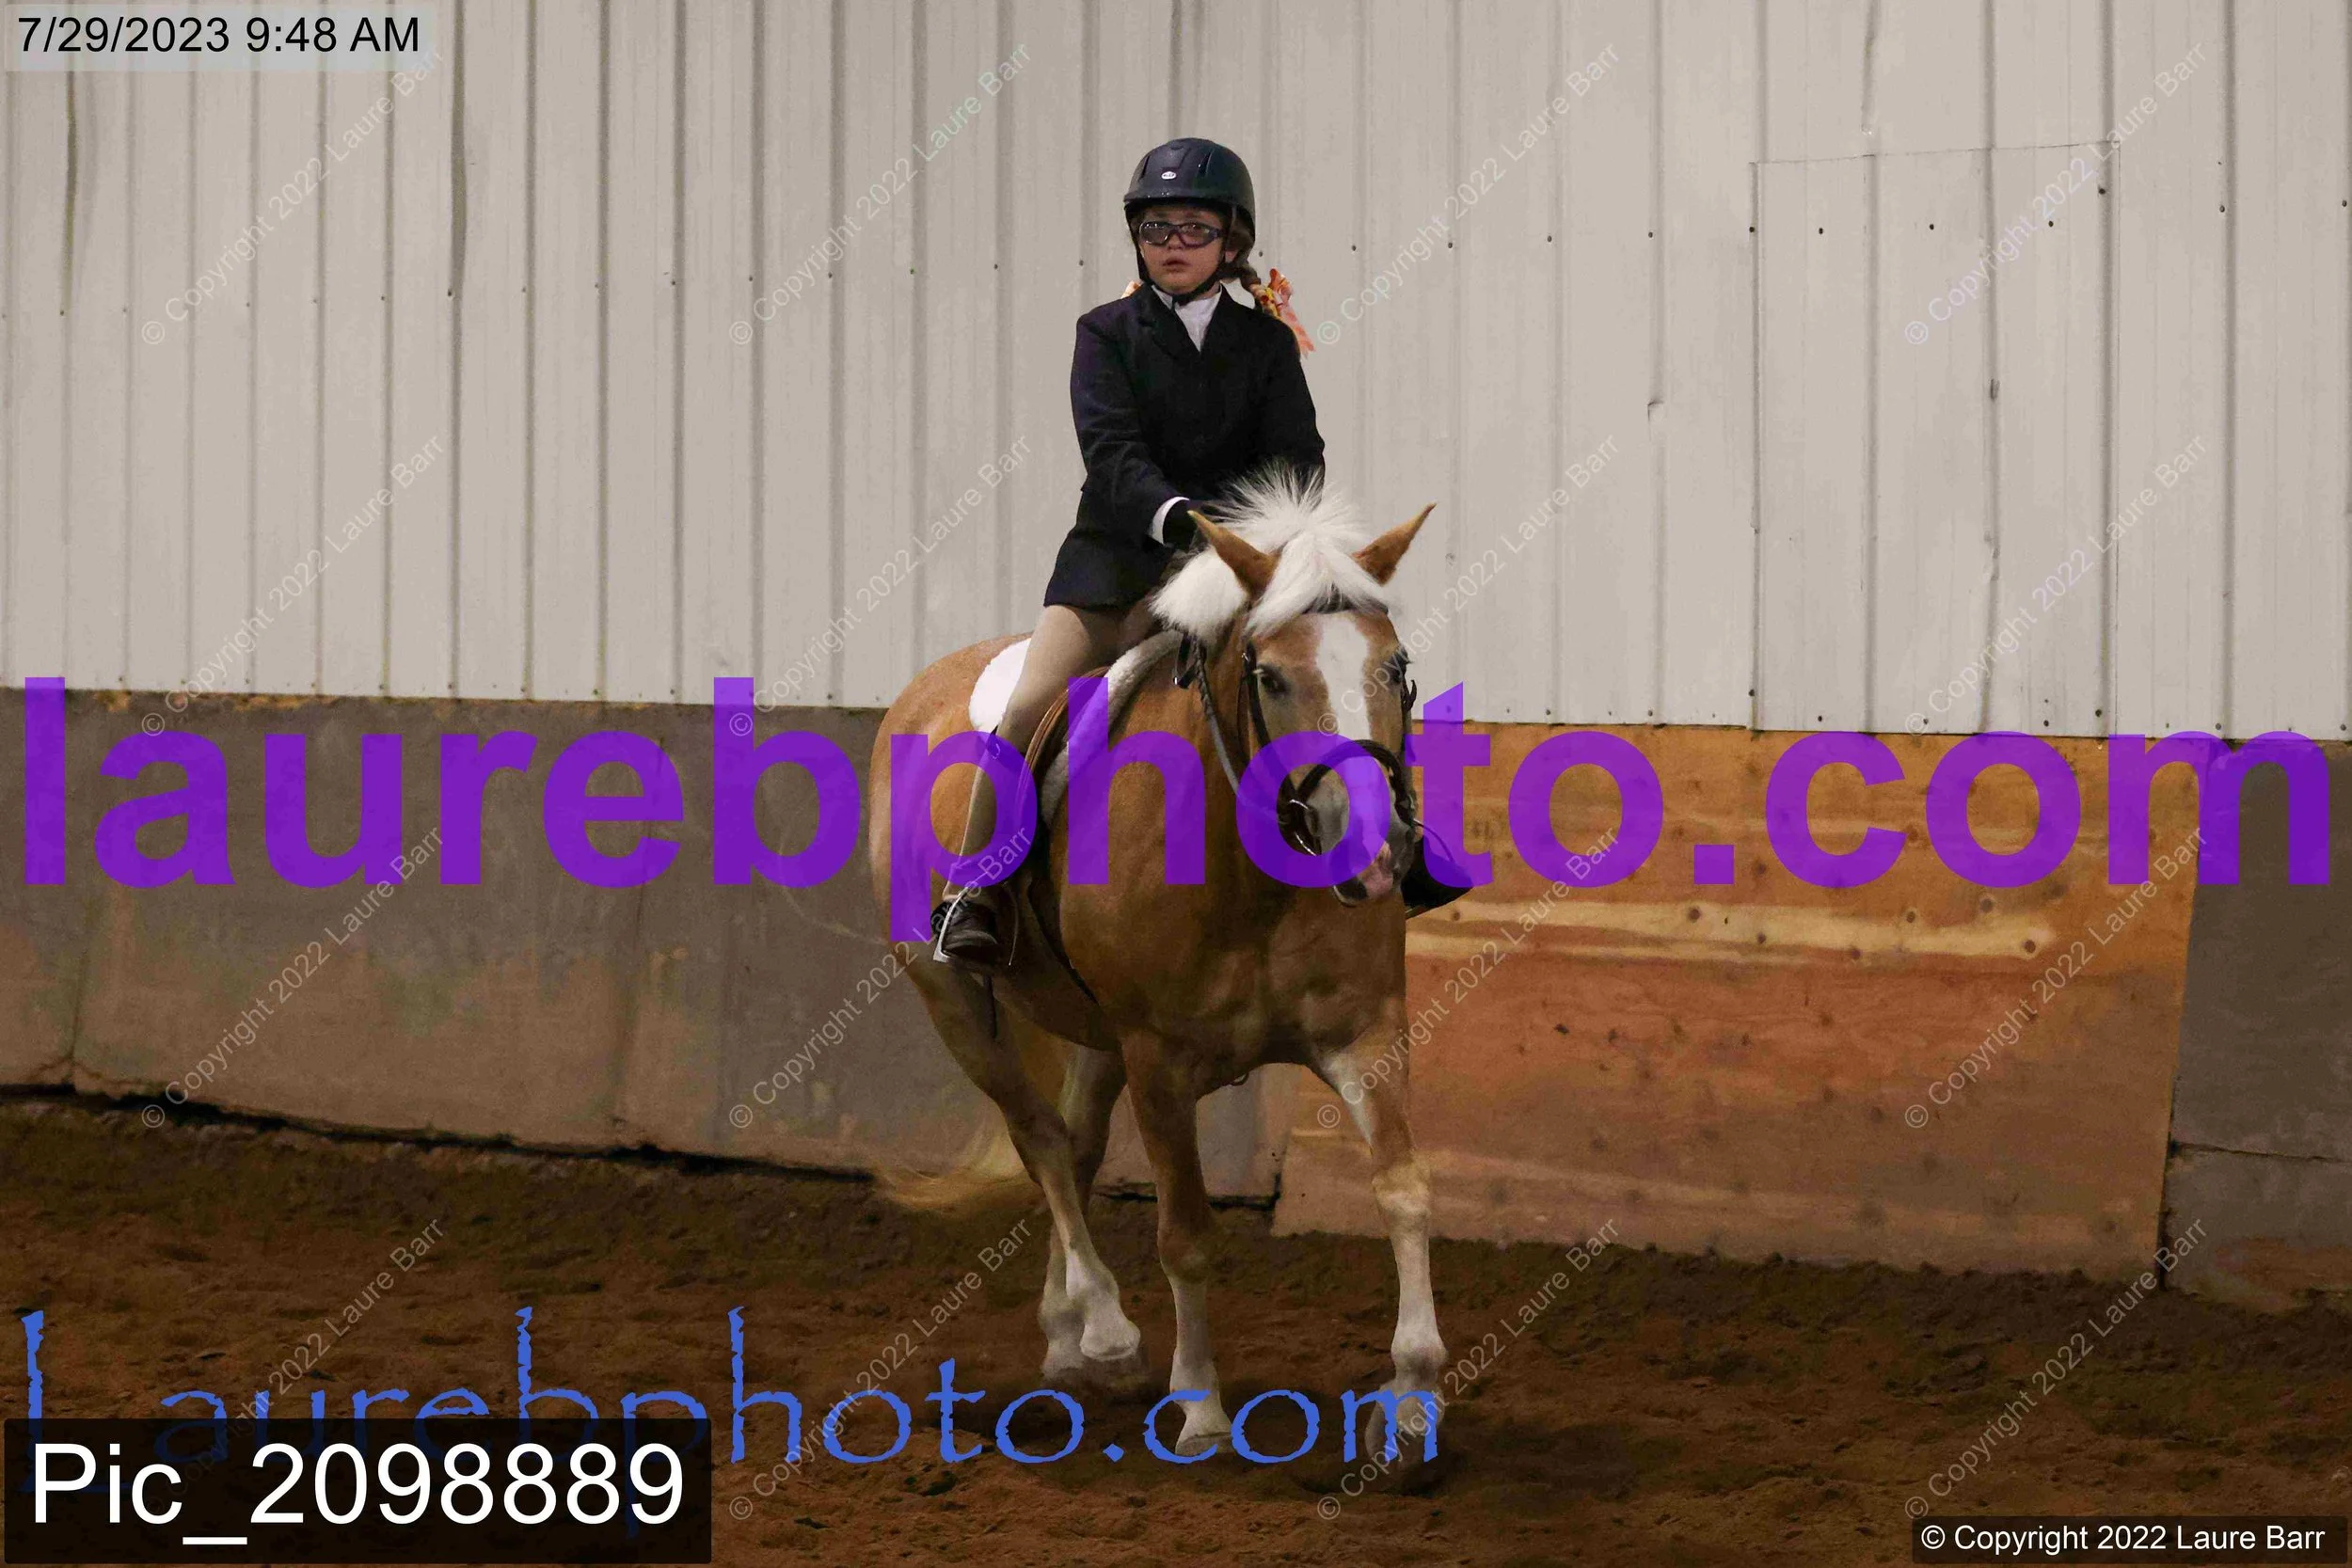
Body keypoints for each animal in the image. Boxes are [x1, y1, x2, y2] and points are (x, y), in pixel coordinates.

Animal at [866, 473, 1444, 1460]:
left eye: (1395, 667)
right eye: (1270, 676)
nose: (1374, 851)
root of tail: (920, 692)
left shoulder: (1365, 1032)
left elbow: (1402, 1190)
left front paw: (1409, 1399)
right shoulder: (1160, 1062)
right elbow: (1187, 1235)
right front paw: (1202, 1405)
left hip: (1097, 1037)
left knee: (1076, 1146)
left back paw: (1068, 1338)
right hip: (952, 1000)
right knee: (1041, 1139)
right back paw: (1104, 1327)